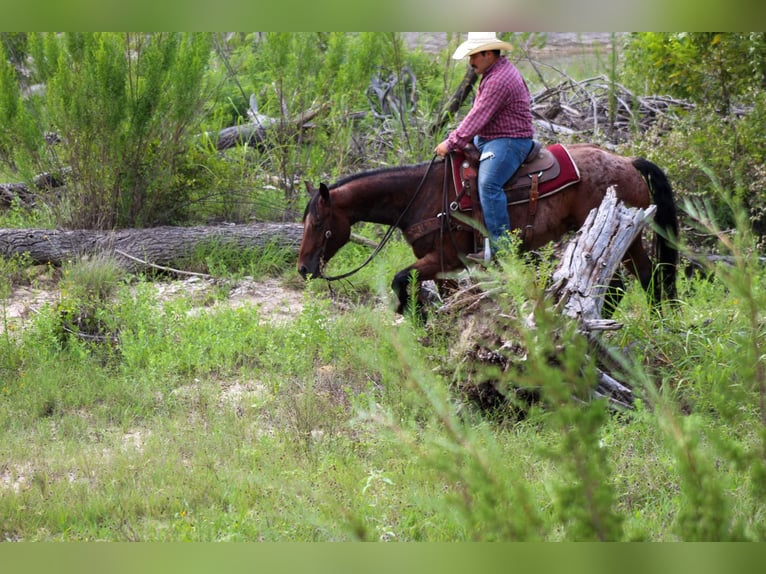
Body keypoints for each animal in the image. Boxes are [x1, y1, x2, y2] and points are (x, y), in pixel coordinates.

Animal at [297, 142, 679, 317]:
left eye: (318, 222)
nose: (303, 269)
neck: (422, 196)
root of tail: (627, 161)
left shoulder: (442, 257)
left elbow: (400, 279)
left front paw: (412, 315)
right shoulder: (444, 267)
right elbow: (441, 295)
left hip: (625, 235)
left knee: (642, 279)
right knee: (631, 281)